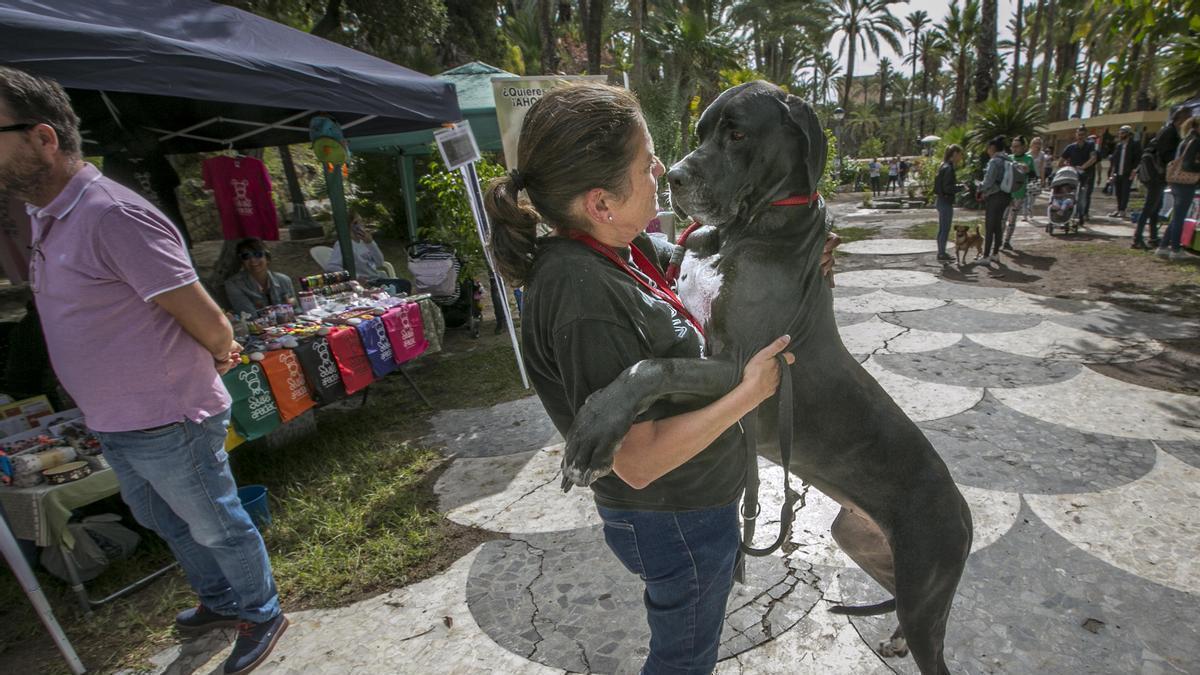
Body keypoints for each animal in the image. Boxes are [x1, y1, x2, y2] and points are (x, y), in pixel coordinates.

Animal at [564, 81, 974, 667]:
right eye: (701, 132)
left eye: (737, 134)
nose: (673, 178)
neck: (744, 231)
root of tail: (965, 514)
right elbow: (653, 256)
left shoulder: (739, 366)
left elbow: (654, 365)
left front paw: (596, 429)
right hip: (864, 543)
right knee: (897, 603)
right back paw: (892, 638)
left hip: (926, 586)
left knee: (932, 647)